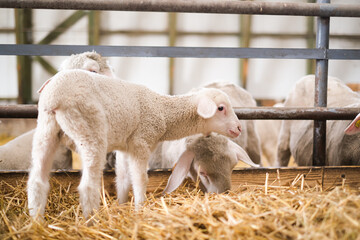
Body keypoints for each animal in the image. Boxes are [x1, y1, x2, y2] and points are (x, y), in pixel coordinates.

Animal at [27, 70, 242, 219]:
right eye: (221, 108)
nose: (239, 128)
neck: (163, 112)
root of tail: (55, 97)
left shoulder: (125, 147)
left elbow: (123, 179)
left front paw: (122, 206)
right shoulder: (141, 142)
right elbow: (140, 180)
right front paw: (140, 208)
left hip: (46, 131)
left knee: (37, 181)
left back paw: (37, 221)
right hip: (89, 132)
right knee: (88, 186)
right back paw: (91, 221)